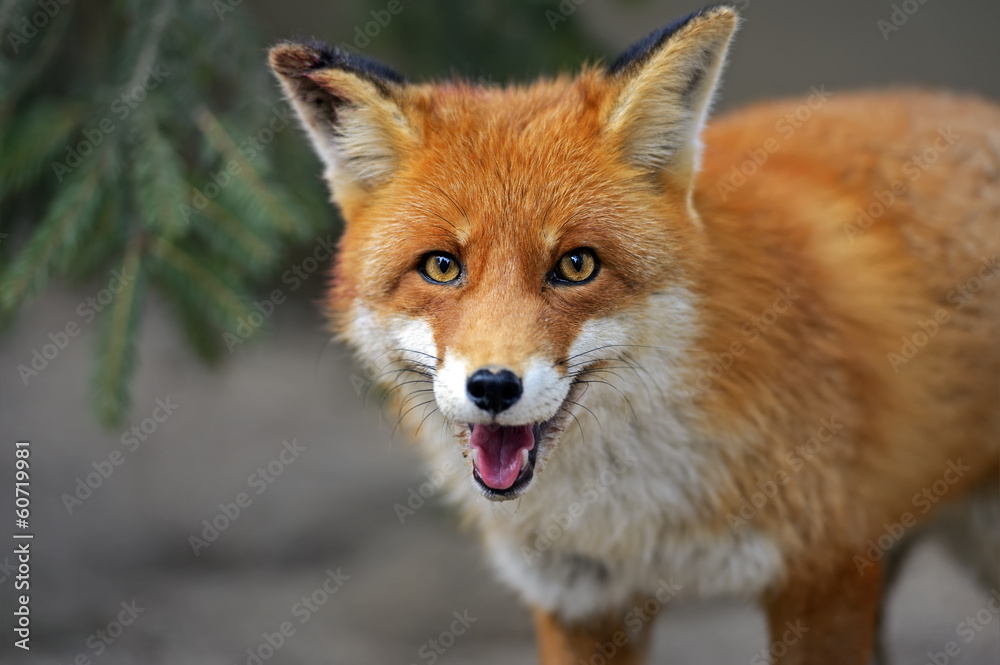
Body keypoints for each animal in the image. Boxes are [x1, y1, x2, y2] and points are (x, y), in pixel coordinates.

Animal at [268, 5, 1000, 663]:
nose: (494, 387)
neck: (633, 517)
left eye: (576, 265)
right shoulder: (581, 599)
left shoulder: (826, 574)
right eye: (442, 266)